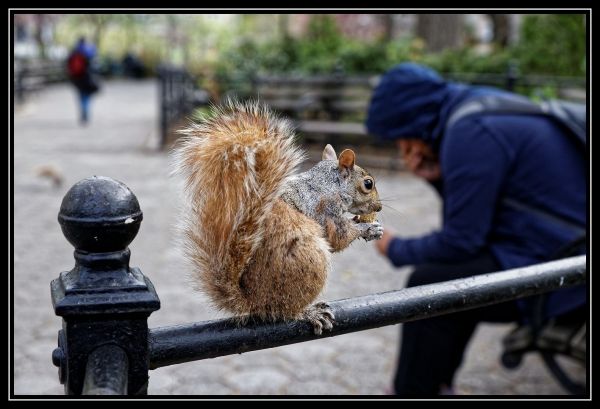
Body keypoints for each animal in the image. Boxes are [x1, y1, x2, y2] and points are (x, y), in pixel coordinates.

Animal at [171, 100, 382, 334]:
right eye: (368, 184)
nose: (379, 207)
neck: (327, 184)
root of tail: (254, 302)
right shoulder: (327, 208)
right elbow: (338, 237)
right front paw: (368, 229)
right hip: (309, 261)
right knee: (286, 311)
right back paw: (309, 312)